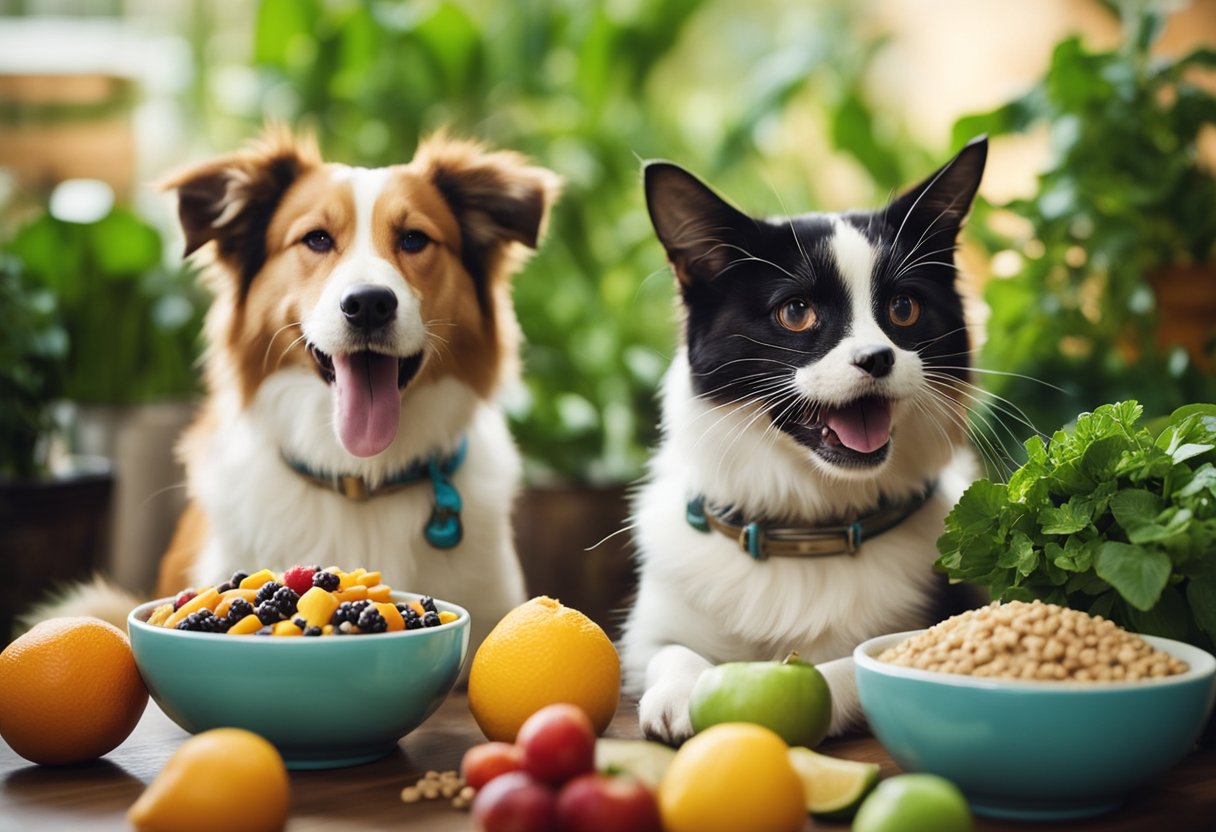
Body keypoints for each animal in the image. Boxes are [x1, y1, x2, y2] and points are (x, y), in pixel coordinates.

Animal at [617, 136, 987, 739]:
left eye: (903, 308)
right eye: (796, 312)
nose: (878, 357)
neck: (806, 523)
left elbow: (842, 669)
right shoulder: (650, 630)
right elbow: (670, 650)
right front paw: (676, 693)